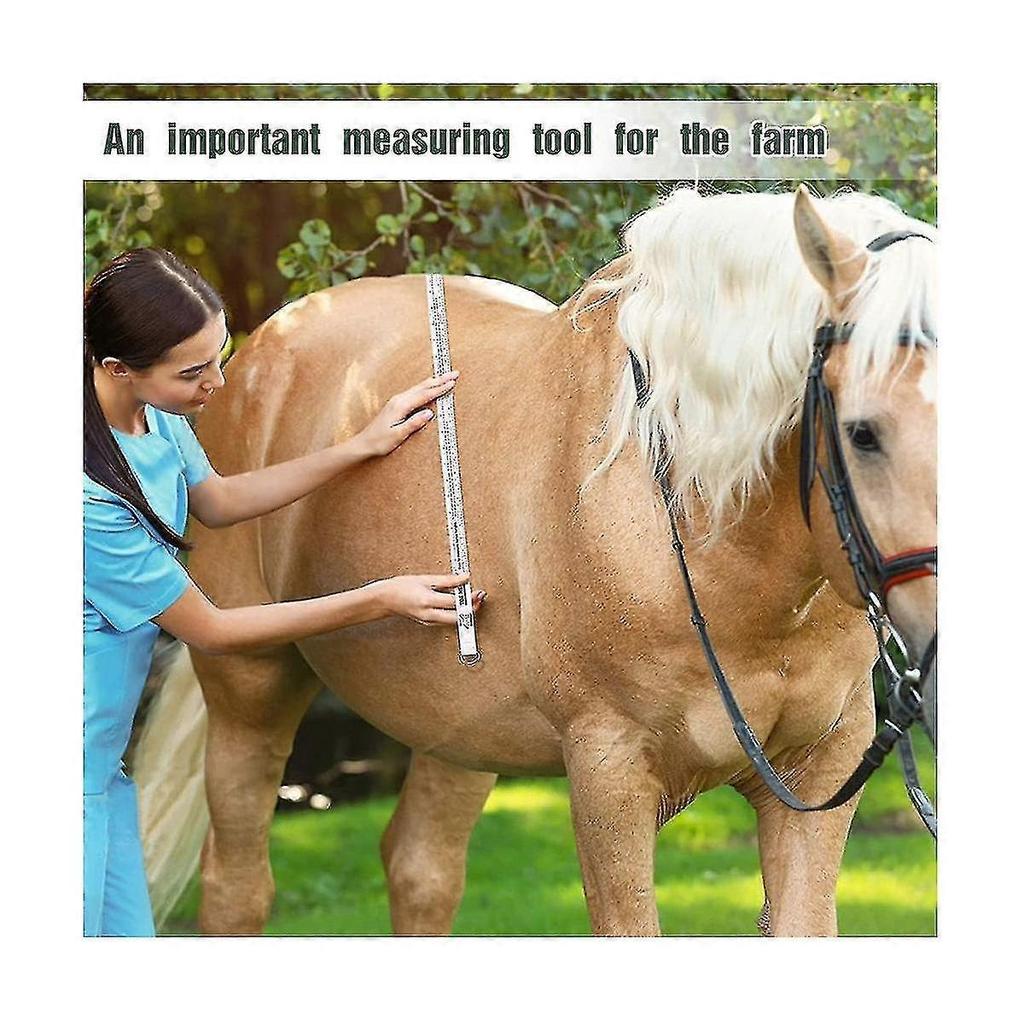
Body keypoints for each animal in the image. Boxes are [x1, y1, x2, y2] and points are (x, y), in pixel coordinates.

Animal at [134, 185, 937, 937]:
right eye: (862, 432)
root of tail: (262, 350)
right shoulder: (609, 771)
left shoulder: (822, 771)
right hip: (251, 689)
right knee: (237, 886)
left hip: (456, 727)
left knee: (420, 868)